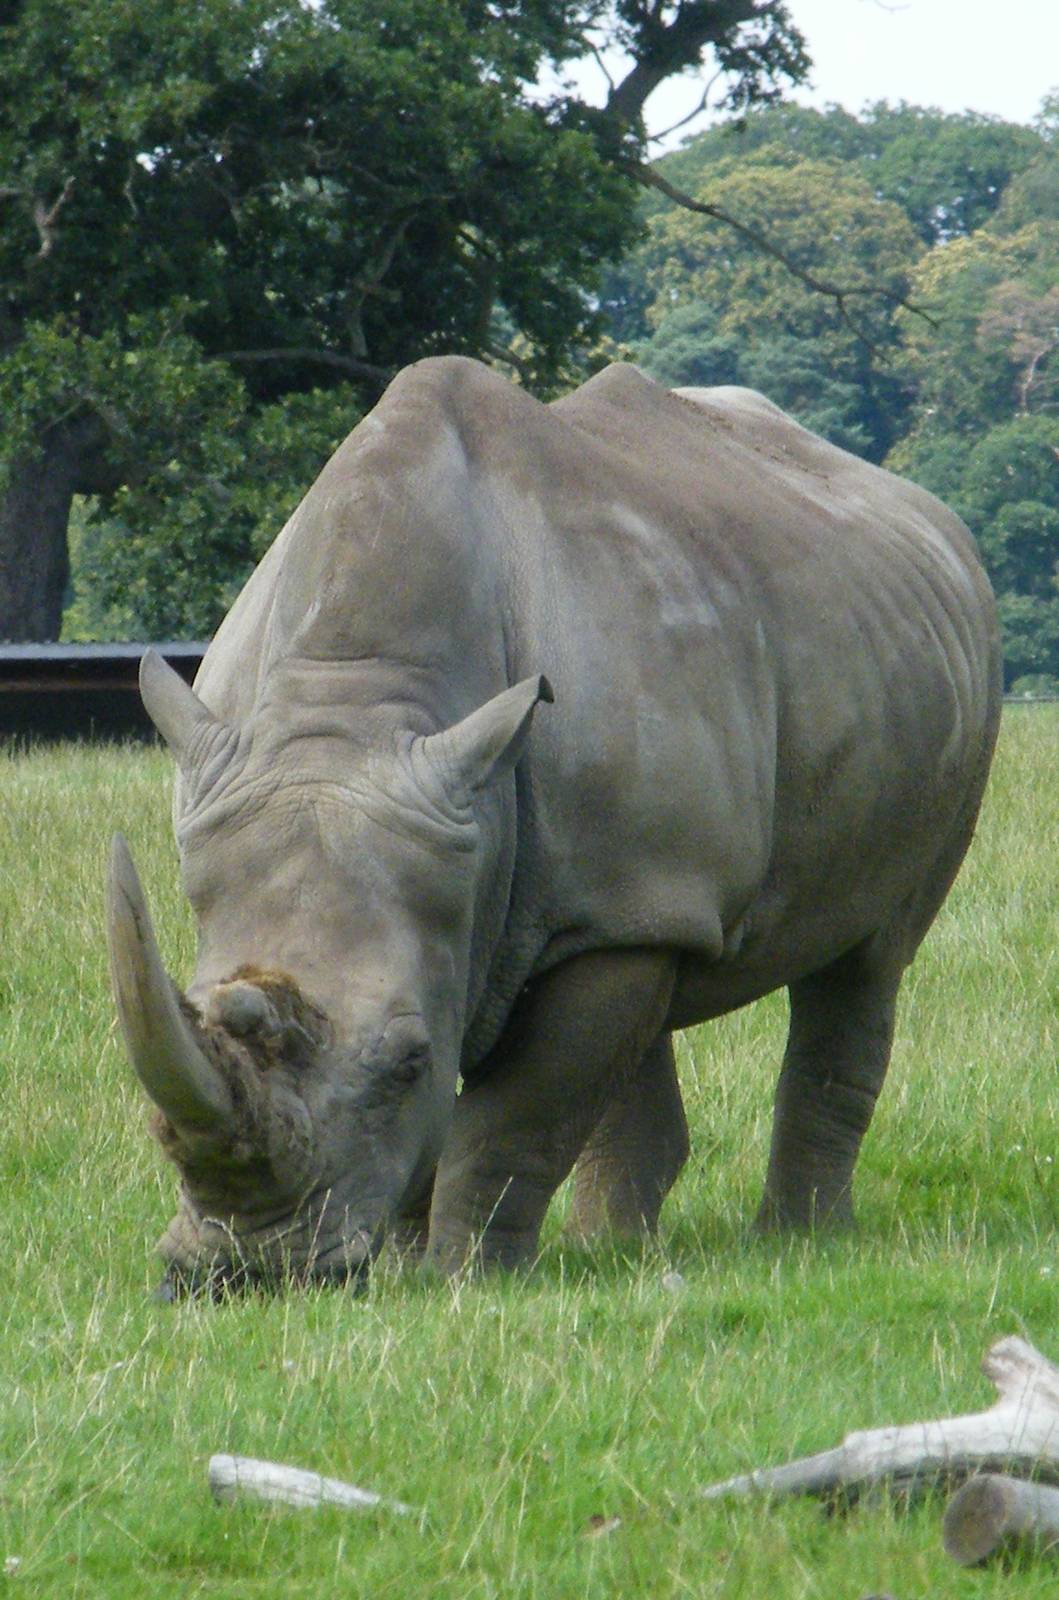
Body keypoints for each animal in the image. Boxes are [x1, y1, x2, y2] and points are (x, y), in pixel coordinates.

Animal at [106, 357, 1001, 1293]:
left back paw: (798, 1241)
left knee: (868, 959)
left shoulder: (606, 900)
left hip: (943, 694)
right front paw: (410, 1266)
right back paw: (616, 1250)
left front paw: (461, 1281)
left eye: (409, 1060)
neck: (353, 706)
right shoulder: (563, 875)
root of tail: (931, 517)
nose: (245, 1273)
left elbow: (512, 1118)